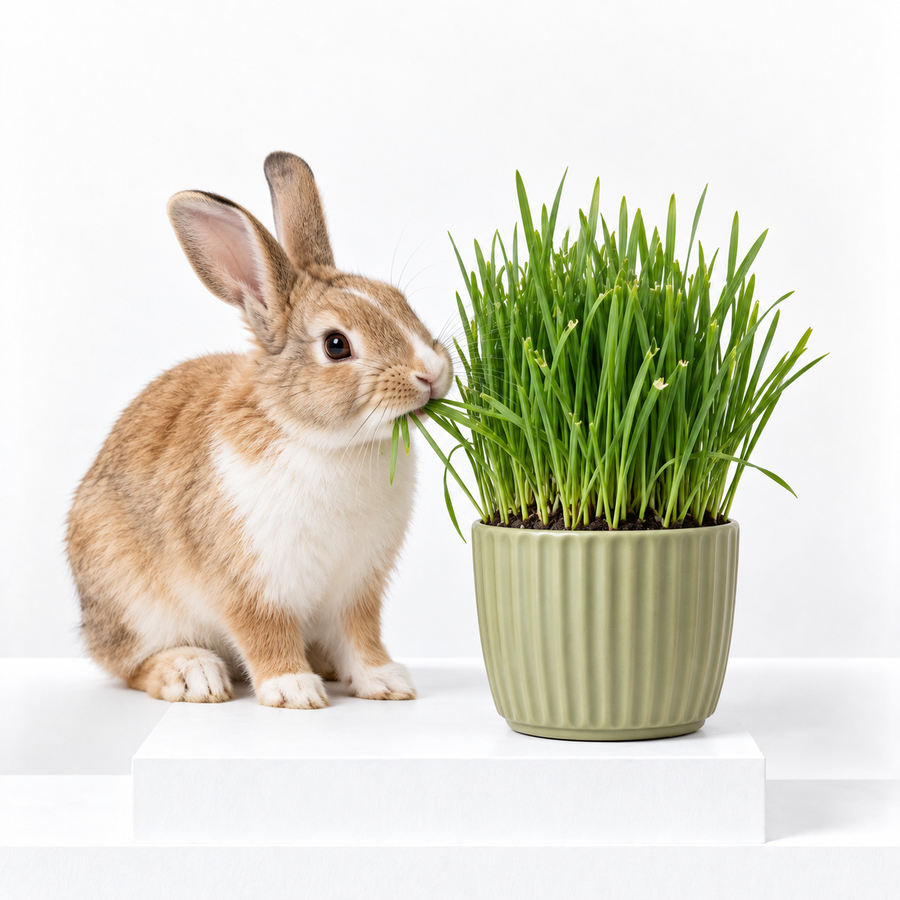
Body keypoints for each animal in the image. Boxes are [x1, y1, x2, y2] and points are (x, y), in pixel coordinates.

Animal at [65, 151, 453, 709]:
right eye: (336, 345)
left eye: (397, 299)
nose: (431, 373)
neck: (324, 440)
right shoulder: (249, 585)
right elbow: (264, 632)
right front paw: (293, 689)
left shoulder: (357, 589)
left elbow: (362, 636)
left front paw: (385, 682)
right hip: (131, 600)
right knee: (128, 664)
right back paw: (193, 674)